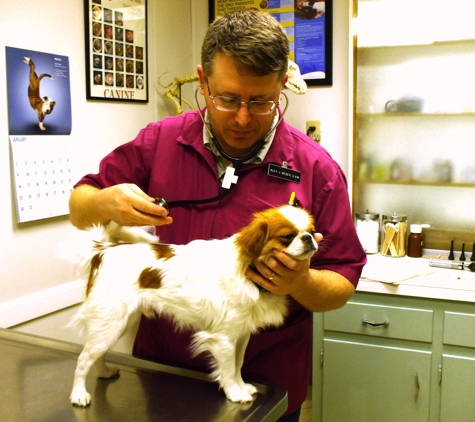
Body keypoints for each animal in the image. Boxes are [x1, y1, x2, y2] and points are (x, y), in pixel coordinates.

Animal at [69, 204, 318, 406]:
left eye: (312, 231)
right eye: (288, 237)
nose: (308, 238)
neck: (248, 270)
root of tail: (103, 250)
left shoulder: (240, 335)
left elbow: (237, 365)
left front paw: (242, 386)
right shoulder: (223, 338)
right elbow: (228, 369)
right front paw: (234, 393)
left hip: (117, 323)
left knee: (96, 354)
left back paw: (104, 372)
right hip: (110, 321)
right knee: (83, 359)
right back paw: (78, 394)